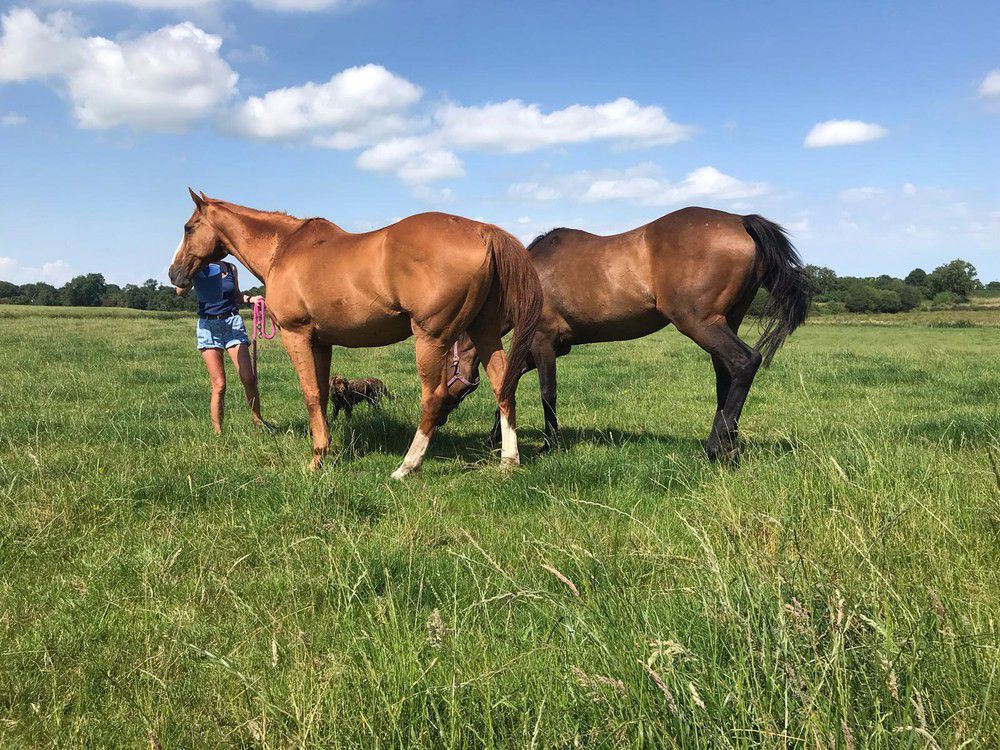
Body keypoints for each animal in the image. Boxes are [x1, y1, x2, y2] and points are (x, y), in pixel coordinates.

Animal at [165, 191, 544, 478]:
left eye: (188, 227)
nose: (174, 273)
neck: (284, 248)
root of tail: (483, 231)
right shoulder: (322, 342)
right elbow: (321, 393)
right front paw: (325, 449)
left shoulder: (296, 335)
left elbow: (310, 395)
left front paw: (316, 458)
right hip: (484, 332)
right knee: (503, 386)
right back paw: (509, 462)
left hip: (431, 339)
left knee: (433, 398)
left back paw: (406, 467)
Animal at [444, 207, 812, 464]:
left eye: (446, 364)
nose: (443, 416)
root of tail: (740, 220)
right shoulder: (551, 349)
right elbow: (508, 382)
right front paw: (497, 436)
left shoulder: (543, 343)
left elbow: (547, 393)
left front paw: (549, 445)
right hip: (724, 323)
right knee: (728, 376)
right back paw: (728, 448)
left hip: (701, 323)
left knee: (745, 362)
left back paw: (714, 447)